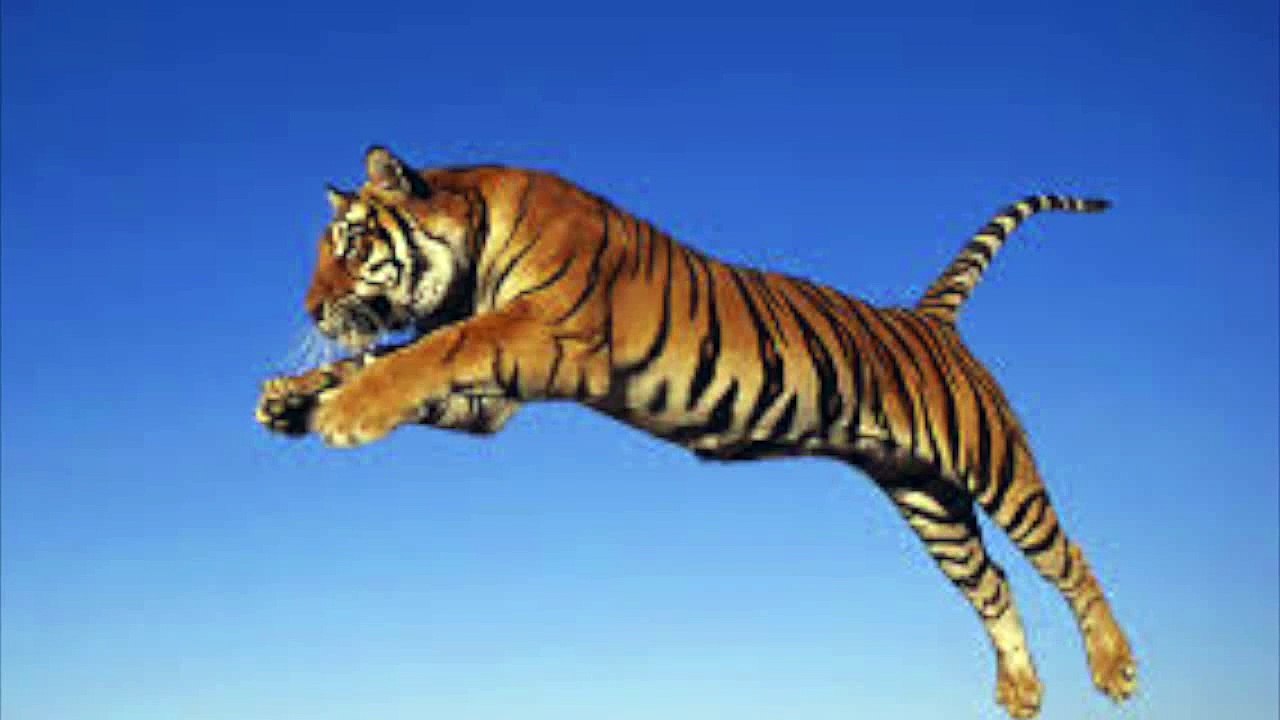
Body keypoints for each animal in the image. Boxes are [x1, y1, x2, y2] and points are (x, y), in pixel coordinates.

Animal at [256, 146, 1137, 718]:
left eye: (352, 246)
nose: (310, 309)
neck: (473, 251)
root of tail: (930, 318)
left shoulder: (540, 332)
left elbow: (427, 351)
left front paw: (344, 412)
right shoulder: (492, 402)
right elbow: (390, 358)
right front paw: (290, 397)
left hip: (995, 465)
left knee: (1067, 557)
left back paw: (1116, 667)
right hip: (927, 499)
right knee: (992, 583)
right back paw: (1022, 692)